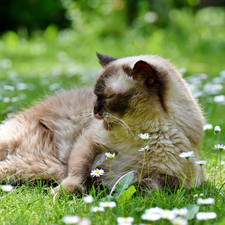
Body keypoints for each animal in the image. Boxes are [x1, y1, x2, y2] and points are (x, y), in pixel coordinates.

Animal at [0, 52, 205, 193]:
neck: (143, 133)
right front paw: (62, 193)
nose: (94, 109)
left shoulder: (179, 178)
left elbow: (149, 184)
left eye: (109, 97)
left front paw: (124, 189)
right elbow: (77, 174)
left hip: (29, 169)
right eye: (95, 95)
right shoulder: (88, 143)